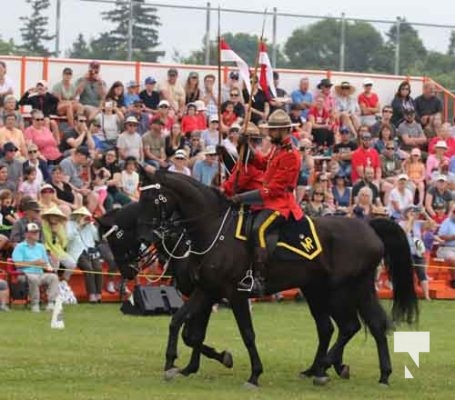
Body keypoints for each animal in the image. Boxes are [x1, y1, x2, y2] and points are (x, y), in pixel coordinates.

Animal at [100, 171, 420, 388]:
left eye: (153, 200)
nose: (127, 272)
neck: (208, 231)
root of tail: (369, 226)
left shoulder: (233, 293)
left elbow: (244, 334)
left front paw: (253, 373)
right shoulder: (206, 291)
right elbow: (183, 325)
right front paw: (177, 365)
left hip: (339, 291)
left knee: (349, 326)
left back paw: (325, 367)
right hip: (341, 289)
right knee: (363, 326)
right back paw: (373, 373)